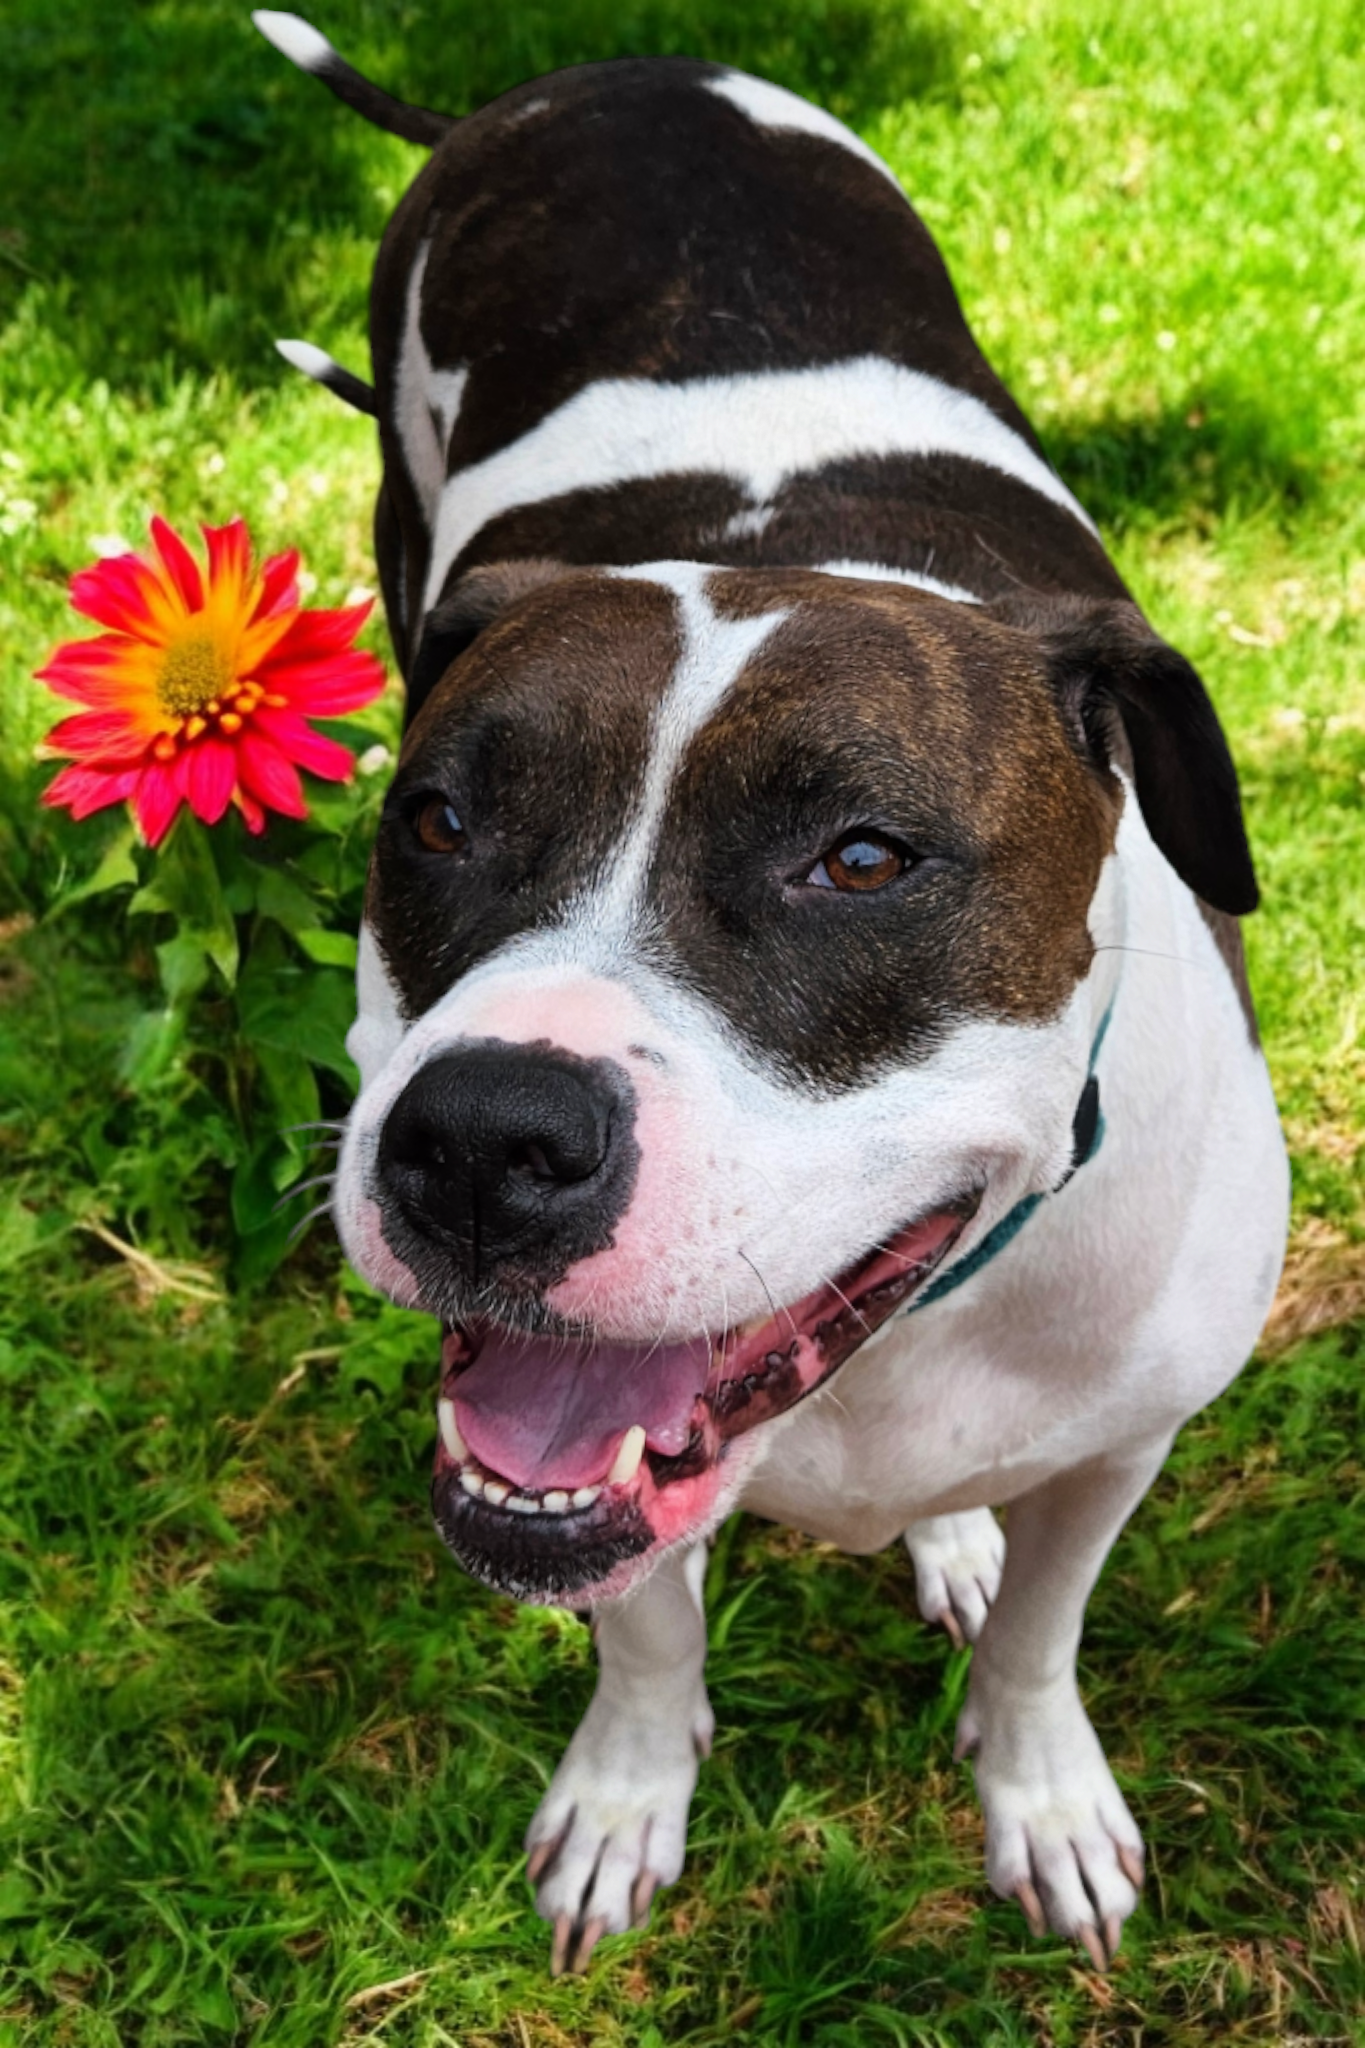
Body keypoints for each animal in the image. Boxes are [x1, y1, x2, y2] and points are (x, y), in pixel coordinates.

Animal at [258, 8, 1293, 1974]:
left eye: (862, 861)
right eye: (436, 822)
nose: (482, 1143)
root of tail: (586, 75)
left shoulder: (1126, 1437)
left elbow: (1044, 1633)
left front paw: (1040, 1790)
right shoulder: (585, 1479)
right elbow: (645, 1623)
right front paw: (623, 1794)